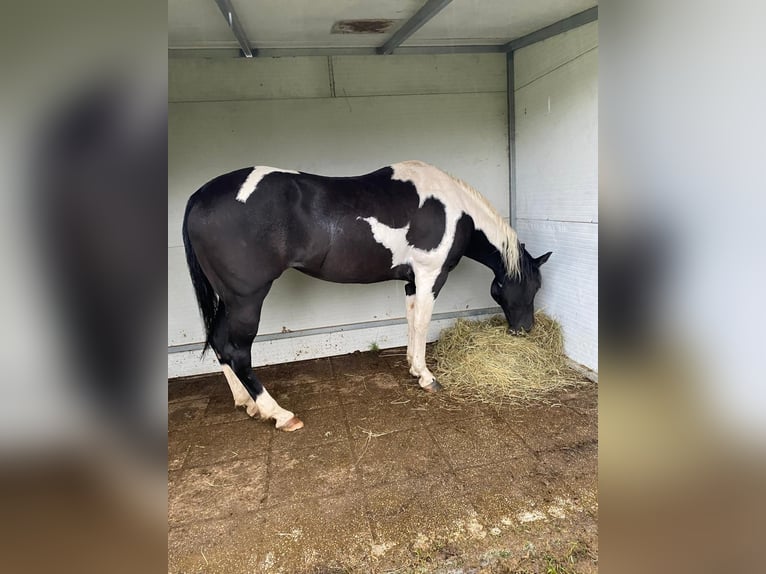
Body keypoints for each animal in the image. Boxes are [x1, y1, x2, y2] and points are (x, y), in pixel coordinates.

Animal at [182, 161, 552, 432]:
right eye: (533, 286)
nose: (525, 329)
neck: (454, 209)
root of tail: (199, 196)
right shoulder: (430, 276)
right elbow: (422, 322)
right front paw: (427, 377)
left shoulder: (411, 281)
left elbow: (411, 320)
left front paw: (412, 367)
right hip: (246, 299)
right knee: (237, 351)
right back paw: (280, 414)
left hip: (229, 299)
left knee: (219, 343)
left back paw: (246, 403)